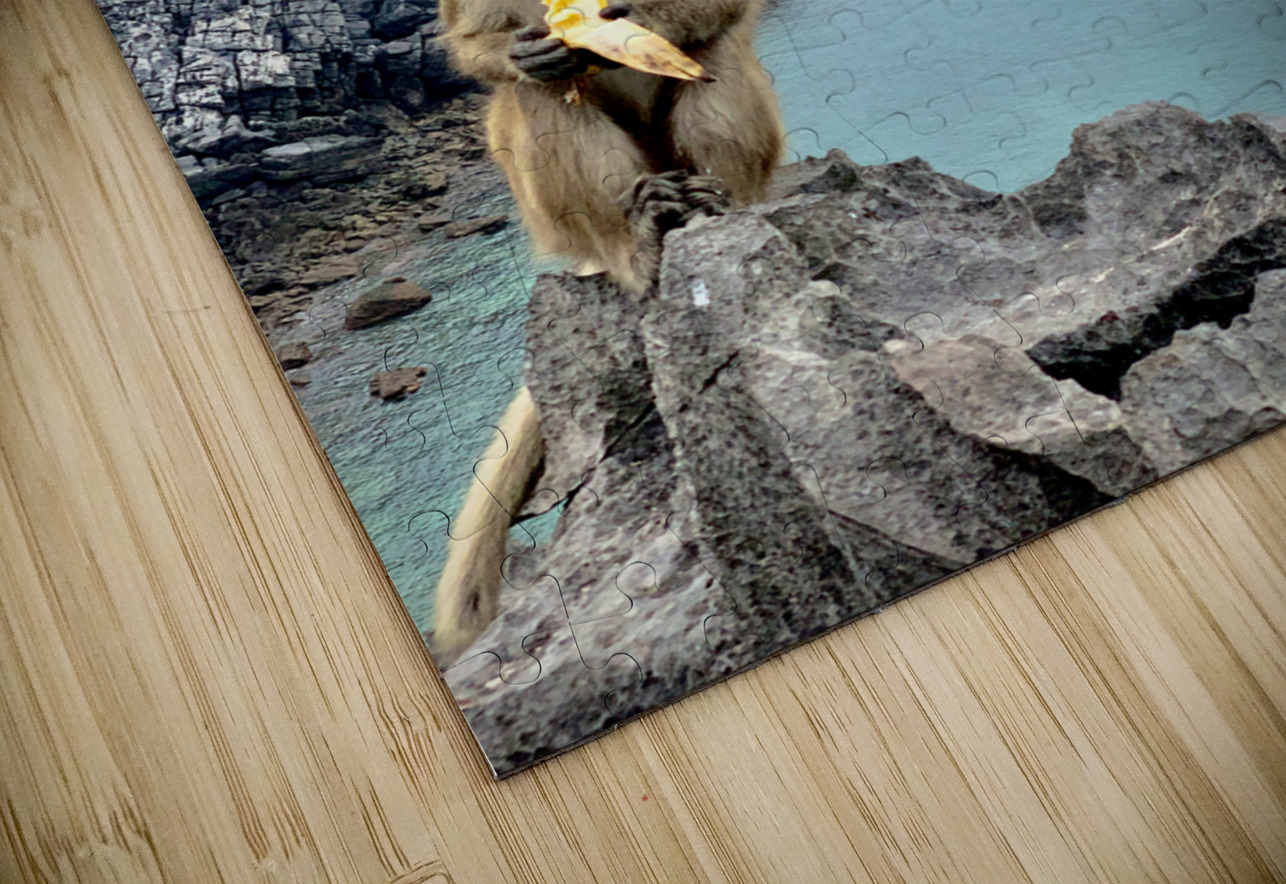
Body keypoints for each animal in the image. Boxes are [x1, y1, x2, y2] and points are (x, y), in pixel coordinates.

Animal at [432, 0, 784, 665]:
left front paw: (634, 28)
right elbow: (477, 40)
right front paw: (533, 53)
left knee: (714, 51)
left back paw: (714, 203)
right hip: (555, 219)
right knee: (538, 96)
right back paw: (635, 240)